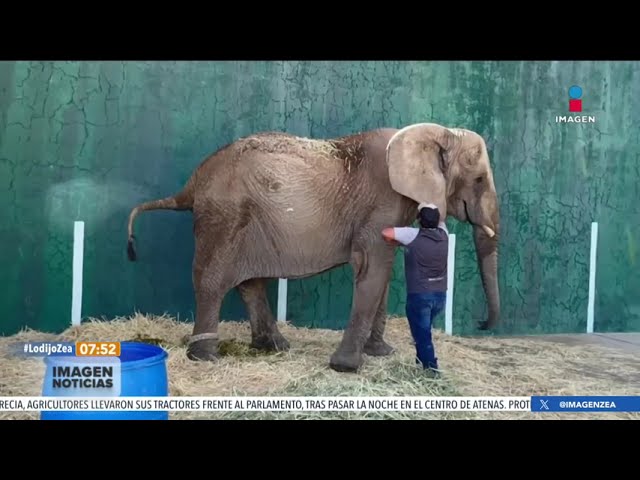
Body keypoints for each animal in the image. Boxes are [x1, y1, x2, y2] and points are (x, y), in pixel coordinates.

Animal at [125, 122, 502, 374]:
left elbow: (383, 270)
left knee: (249, 282)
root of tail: (191, 185)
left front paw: (381, 352)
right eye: (479, 179)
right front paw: (347, 367)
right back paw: (205, 357)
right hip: (224, 216)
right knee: (212, 281)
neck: (434, 132)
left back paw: (273, 346)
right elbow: (372, 267)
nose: (483, 324)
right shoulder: (381, 202)